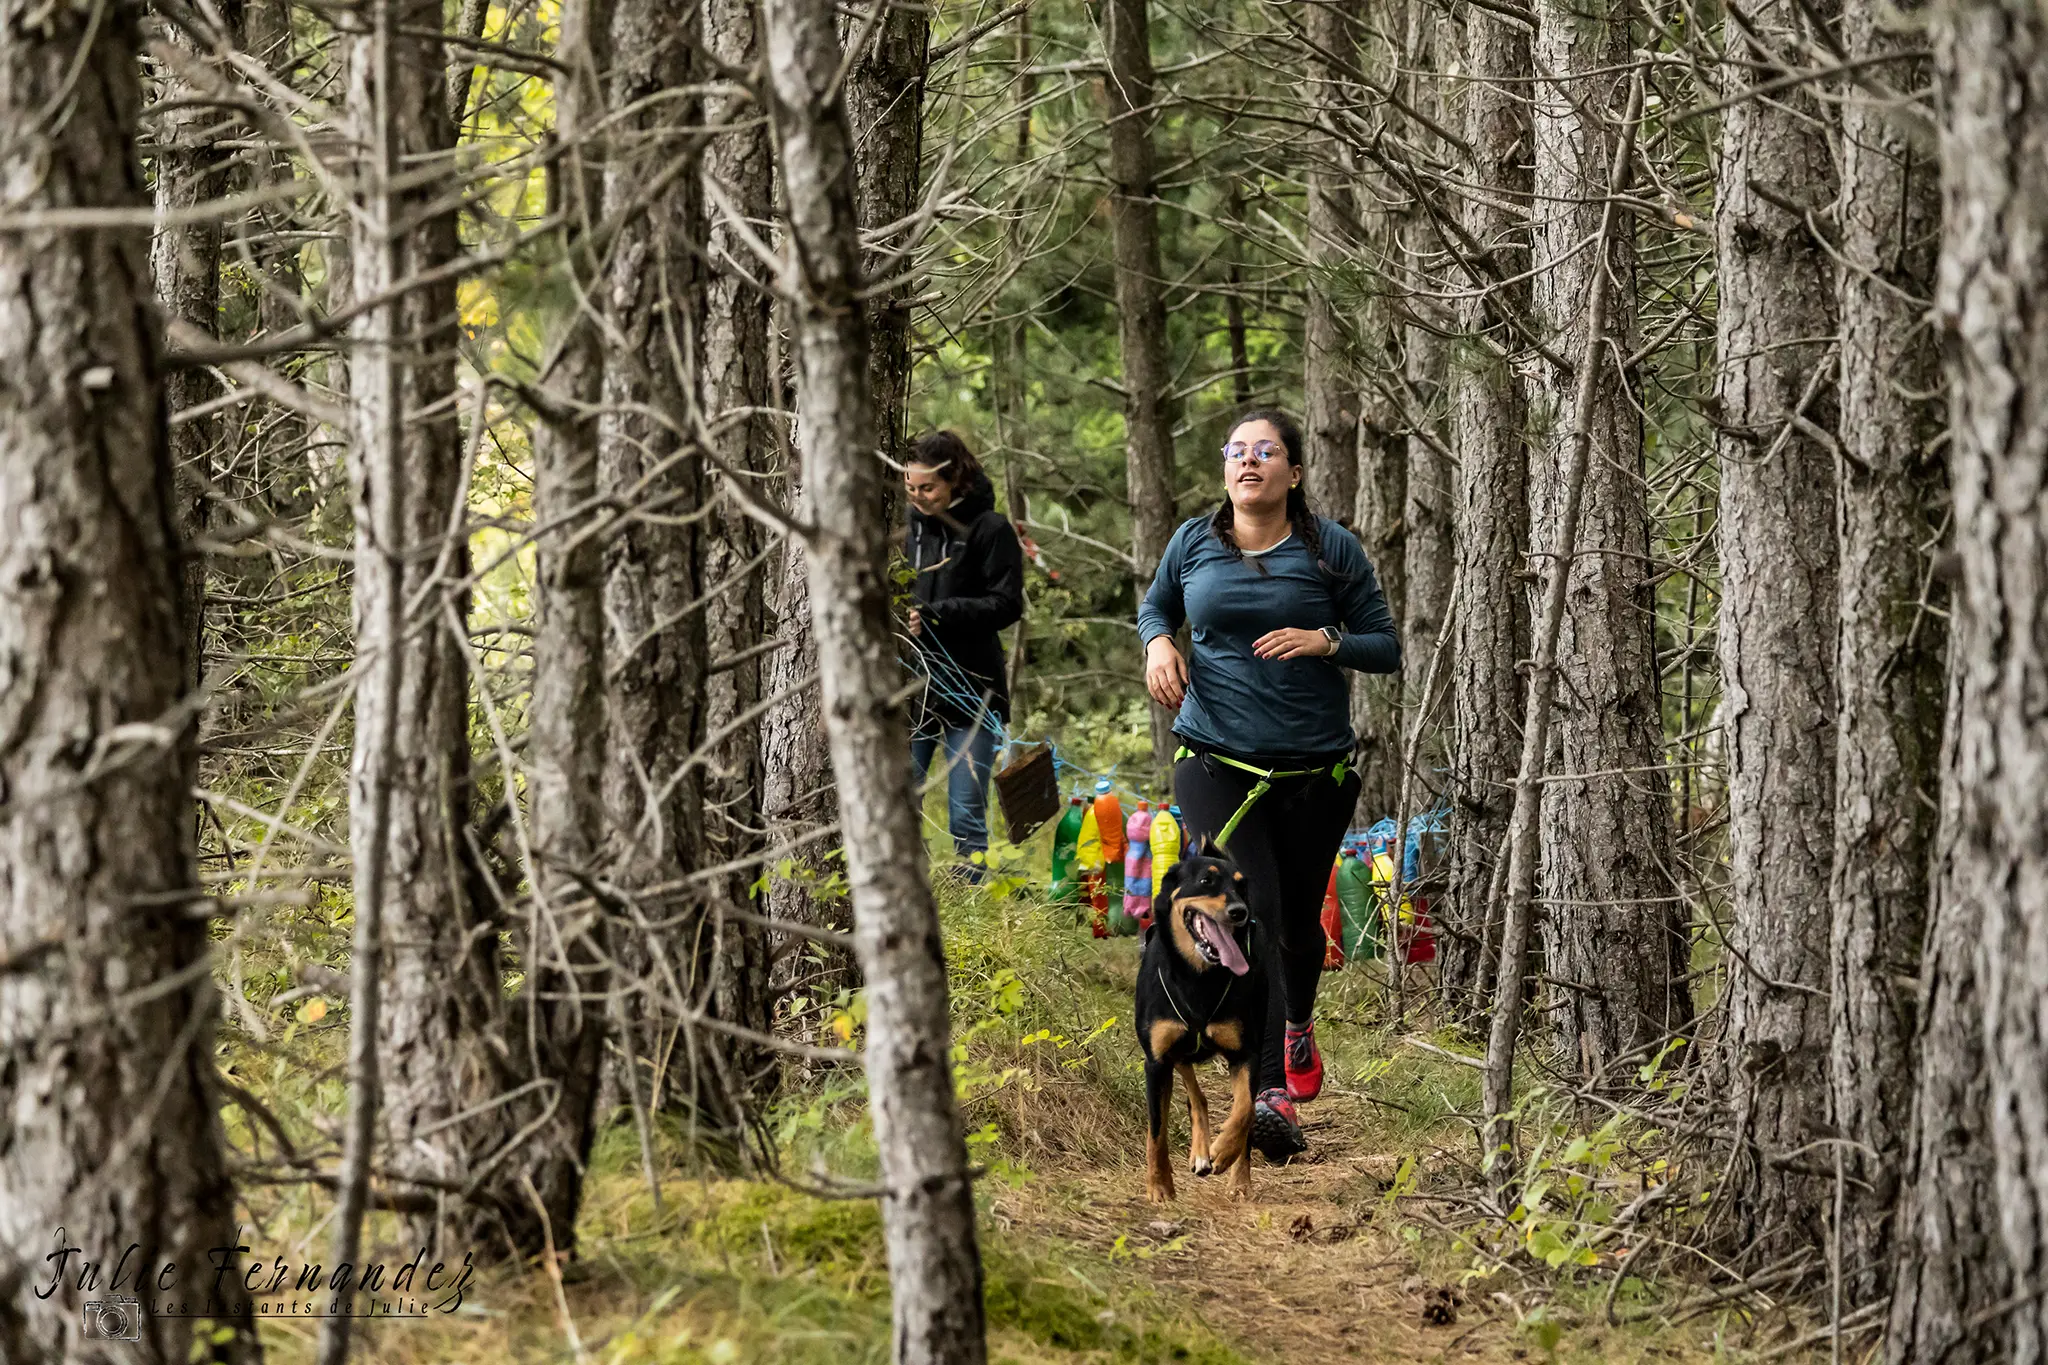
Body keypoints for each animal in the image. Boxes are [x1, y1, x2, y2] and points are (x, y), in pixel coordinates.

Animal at [1138, 839, 1261, 1203]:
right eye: (1207, 881)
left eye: (1242, 886)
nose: (1239, 911)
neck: (1198, 977)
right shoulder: (1157, 1061)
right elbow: (1156, 1130)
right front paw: (1159, 1185)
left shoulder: (1246, 1053)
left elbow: (1244, 1110)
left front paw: (1224, 1152)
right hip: (1177, 1054)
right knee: (1196, 1097)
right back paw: (1199, 1153)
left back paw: (1235, 1176)